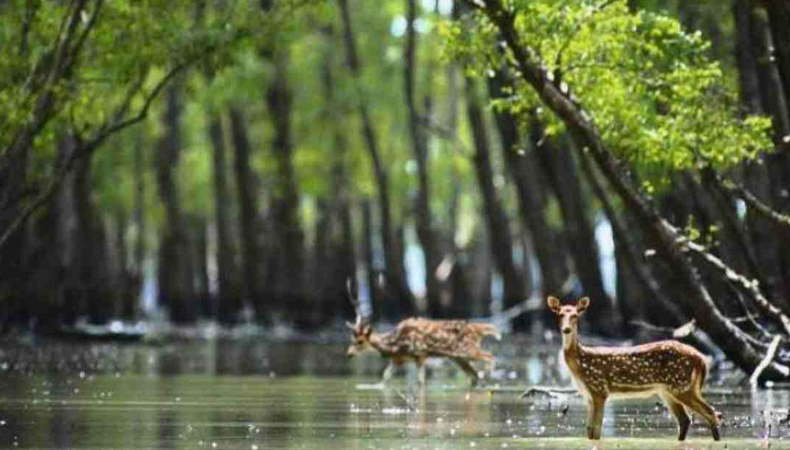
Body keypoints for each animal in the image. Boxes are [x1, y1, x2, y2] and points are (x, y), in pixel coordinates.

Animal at [346, 280, 502, 384]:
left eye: (360, 341)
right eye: (351, 340)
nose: (349, 354)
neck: (395, 344)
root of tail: (479, 329)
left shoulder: (420, 354)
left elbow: (420, 382)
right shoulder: (398, 359)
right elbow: (385, 378)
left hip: (467, 350)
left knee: (489, 356)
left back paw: (488, 375)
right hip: (458, 357)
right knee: (474, 375)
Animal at [552, 298, 724, 442]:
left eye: (575, 315)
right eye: (560, 314)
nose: (566, 329)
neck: (580, 364)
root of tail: (701, 359)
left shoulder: (599, 389)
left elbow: (596, 431)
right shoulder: (588, 395)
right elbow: (589, 431)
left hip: (682, 385)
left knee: (711, 413)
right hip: (668, 390)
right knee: (686, 419)